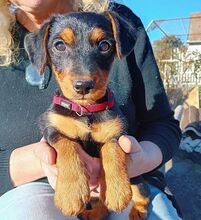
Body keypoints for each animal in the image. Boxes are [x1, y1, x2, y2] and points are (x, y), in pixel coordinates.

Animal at [24, 10, 149, 220]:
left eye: (105, 45)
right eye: (59, 45)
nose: (83, 86)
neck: (85, 111)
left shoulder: (117, 132)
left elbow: (113, 151)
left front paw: (117, 191)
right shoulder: (51, 129)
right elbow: (68, 146)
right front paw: (71, 195)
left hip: (137, 179)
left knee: (142, 196)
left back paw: (136, 212)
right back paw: (91, 213)